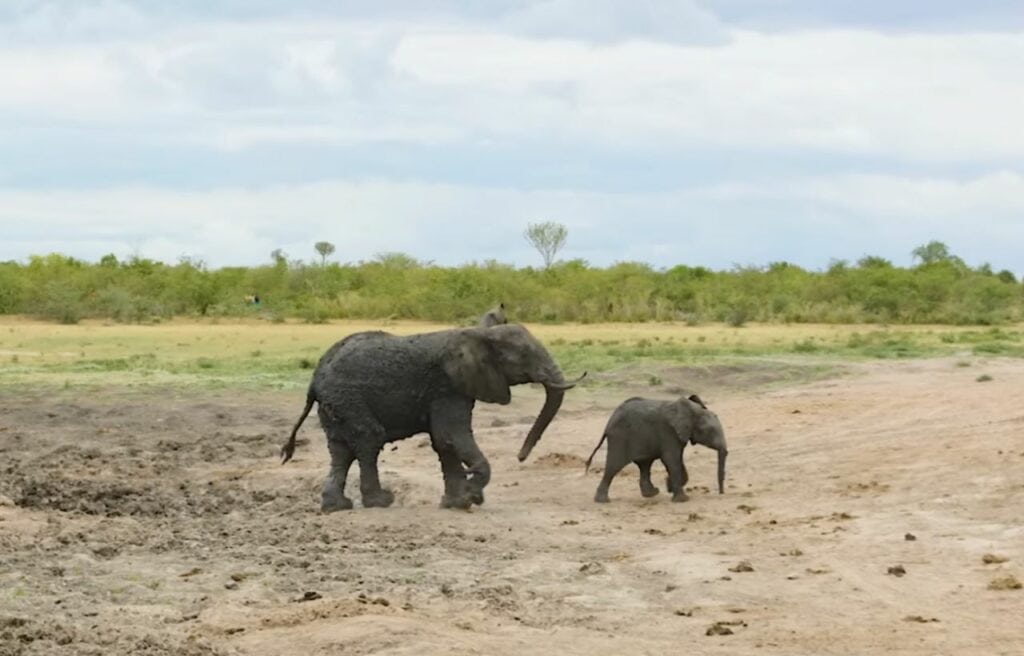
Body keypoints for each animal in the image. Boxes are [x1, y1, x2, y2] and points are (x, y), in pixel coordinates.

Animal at [280, 324, 585, 511]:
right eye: (524, 355)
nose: (521, 457)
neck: (479, 334)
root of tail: (314, 380)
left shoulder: (455, 387)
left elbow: (443, 441)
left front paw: (456, 502)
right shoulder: (447, 387)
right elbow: (450, 435)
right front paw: (471, 494)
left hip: (336, 405)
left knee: (341, 451)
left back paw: (336, 507)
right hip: (348, 398)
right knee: (368, 441)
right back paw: (381, 501)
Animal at [585, 394, 727, 503]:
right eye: (710, 431)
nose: (721, 493)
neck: (691, 411)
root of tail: (608, 423)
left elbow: (677, 461)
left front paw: (669, 487)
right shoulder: (669, 432)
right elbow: (672, 460)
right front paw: (682, 499)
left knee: (644, 465)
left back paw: (652, 493)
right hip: (619, 438)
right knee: (614, 466)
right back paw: (603, 501)